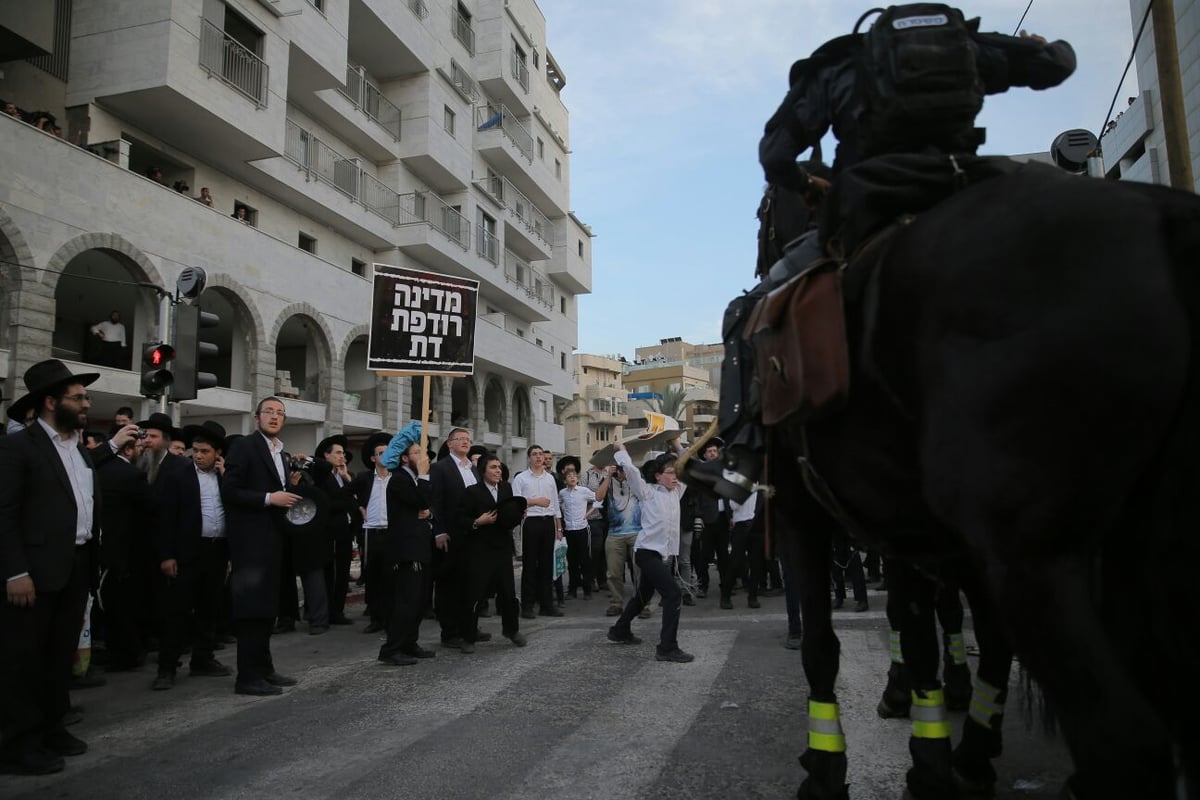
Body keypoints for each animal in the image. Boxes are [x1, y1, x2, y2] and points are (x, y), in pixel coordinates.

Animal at [768, 163, 1200, 800]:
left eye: (763, 215)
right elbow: (921, 627)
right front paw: (930, 737)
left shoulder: (818, 515)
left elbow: (849, 640)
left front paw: (842, 765)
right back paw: (975, 752)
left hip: (1027, 551)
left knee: (1119, 732)